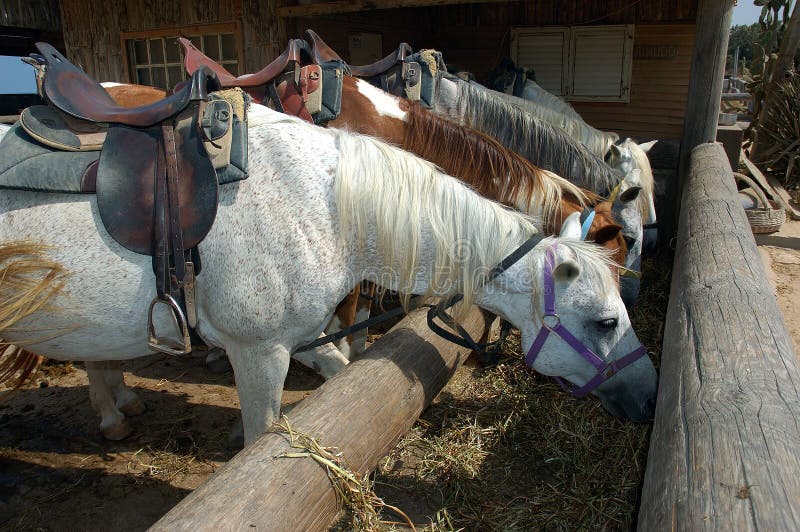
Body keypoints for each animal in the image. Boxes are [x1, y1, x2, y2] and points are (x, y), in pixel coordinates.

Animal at [0, 106, 656, 442]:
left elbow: (341, 374)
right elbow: (262, 438)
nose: (648, 398)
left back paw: (118, 407)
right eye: (604, 321)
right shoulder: (258, 352)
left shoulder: (304, 337)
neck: (326, 205)